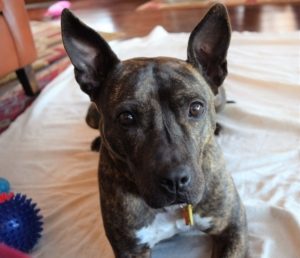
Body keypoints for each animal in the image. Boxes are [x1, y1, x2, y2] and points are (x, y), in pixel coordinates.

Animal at [61, 4, 248, 258]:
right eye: (127, 118)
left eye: (196, 107)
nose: (175, 180)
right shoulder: (130, 249)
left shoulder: (232, 226)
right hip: (90, 116)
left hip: (220, 98)